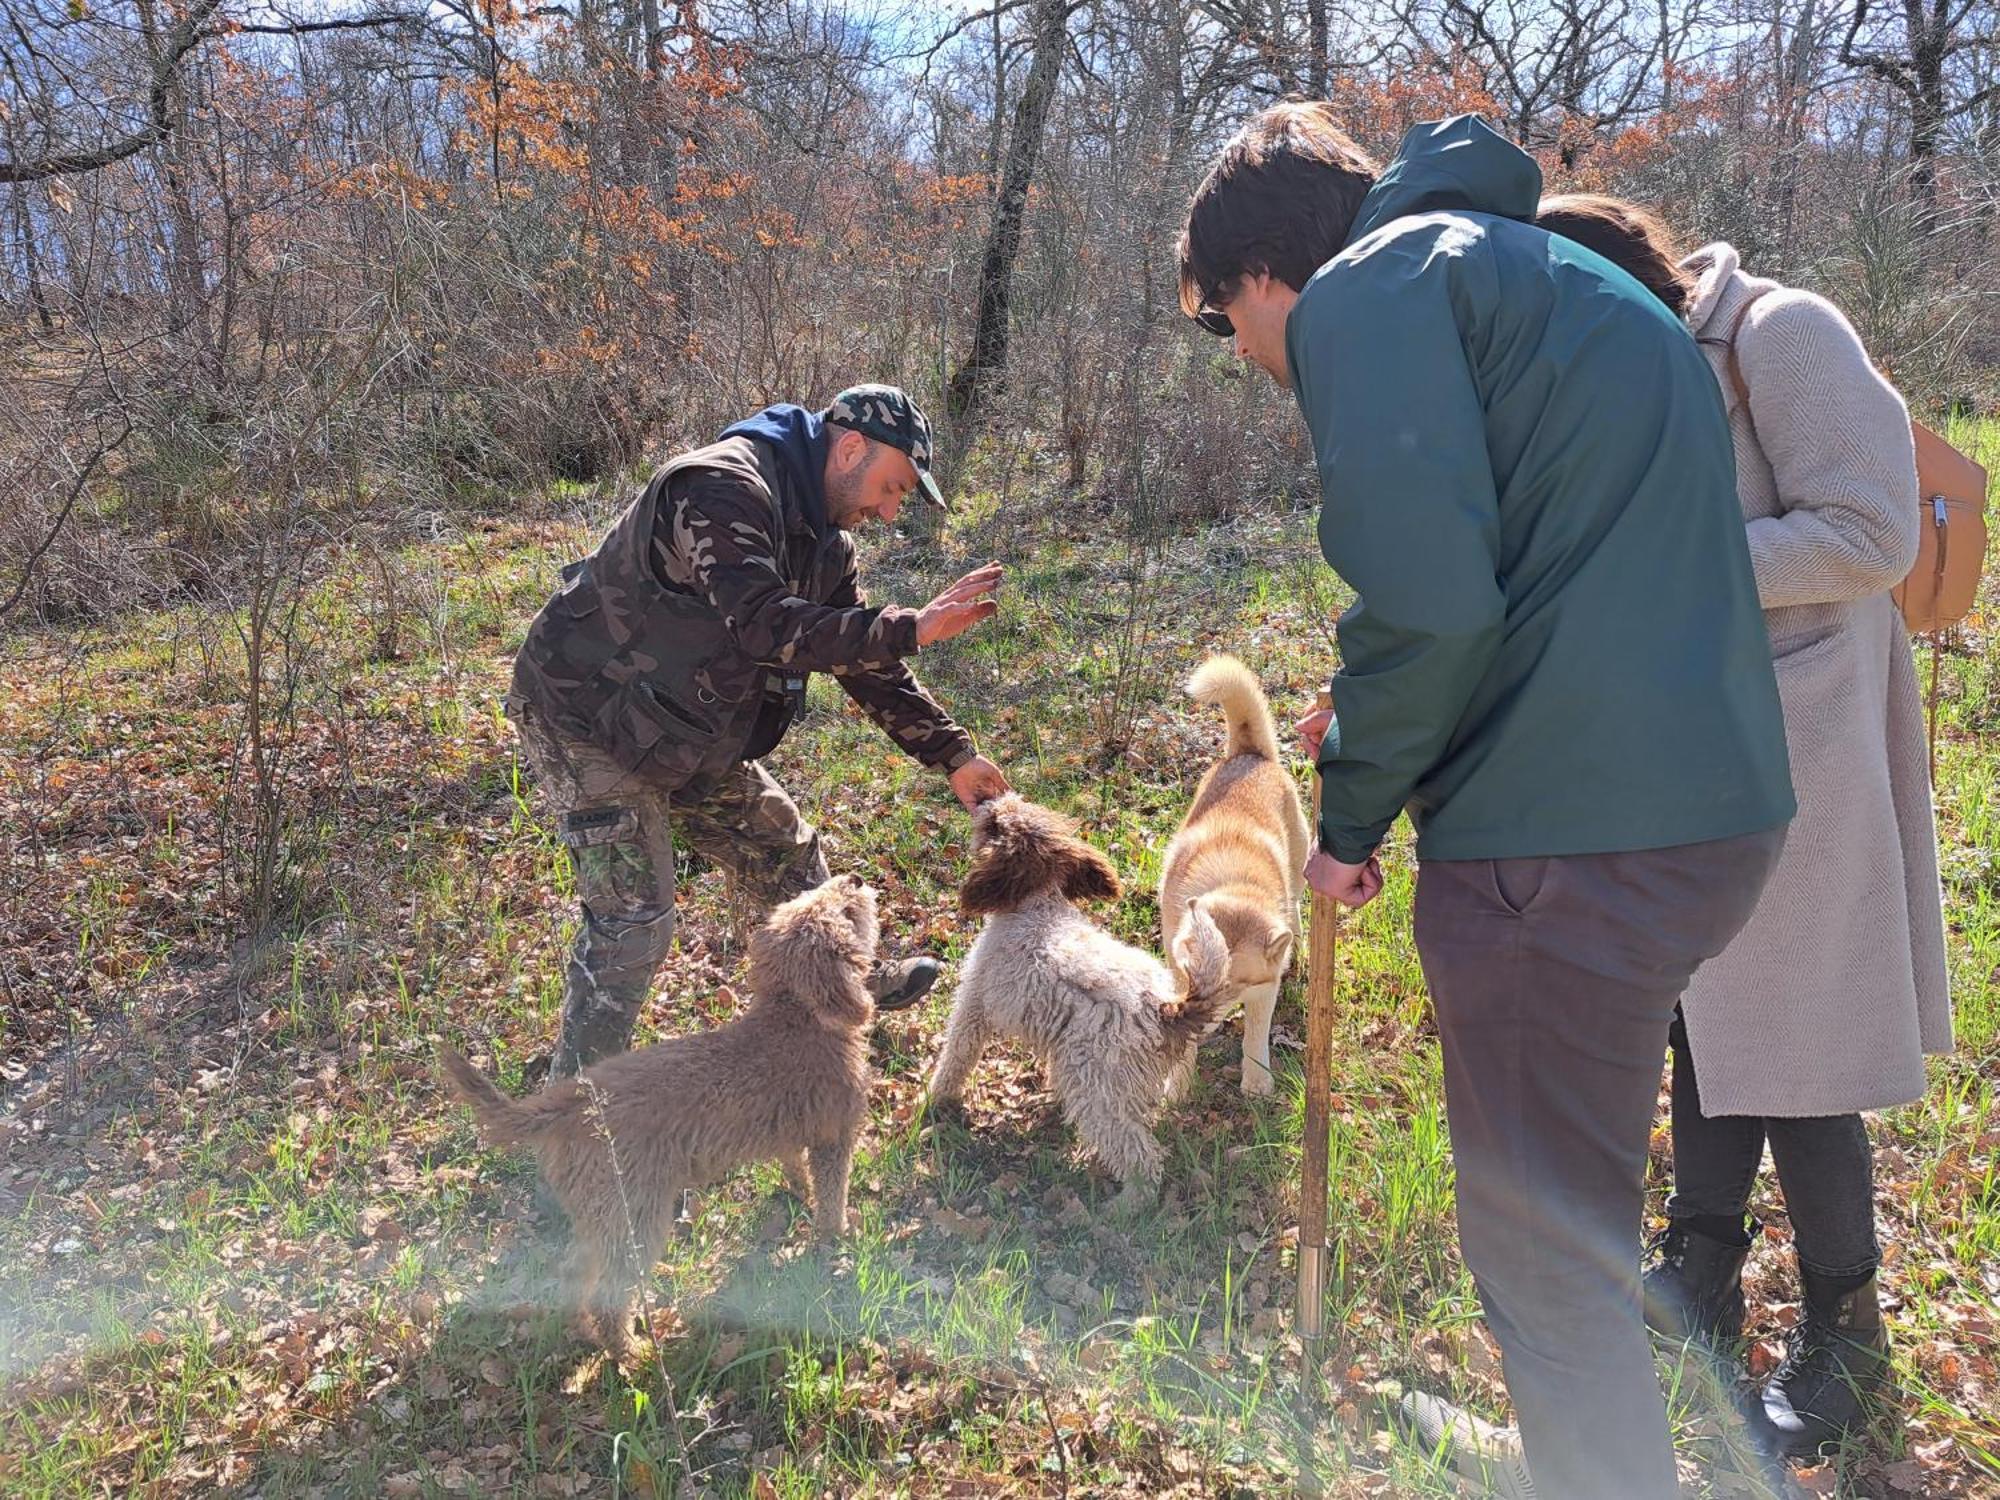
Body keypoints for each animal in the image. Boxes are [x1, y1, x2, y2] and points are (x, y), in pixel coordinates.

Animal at [442, 876, 880, 1360]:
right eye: (844, 912)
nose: (854, 880)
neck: (798, 1017)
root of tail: (573, 1101)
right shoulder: (835, 1138)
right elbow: (832, 1197)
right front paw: (837, 1236)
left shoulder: (794, 1135)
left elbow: (796, 1169)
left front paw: (800, 1196)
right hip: (637, 1218)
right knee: (610, 1296)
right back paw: (630, 1353)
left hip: (601, 1216)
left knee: (576, 1272)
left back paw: (584, 1330)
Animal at [1160, 652, 1312, 1096]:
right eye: (1195, 976)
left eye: (1232, 986)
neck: (1233, 882)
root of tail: (1250, 754)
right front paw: (1178, 1085)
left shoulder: (1264, 989)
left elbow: (1255, 1035)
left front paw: (1256, 1082)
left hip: (1300, 869)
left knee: (1296, 905)